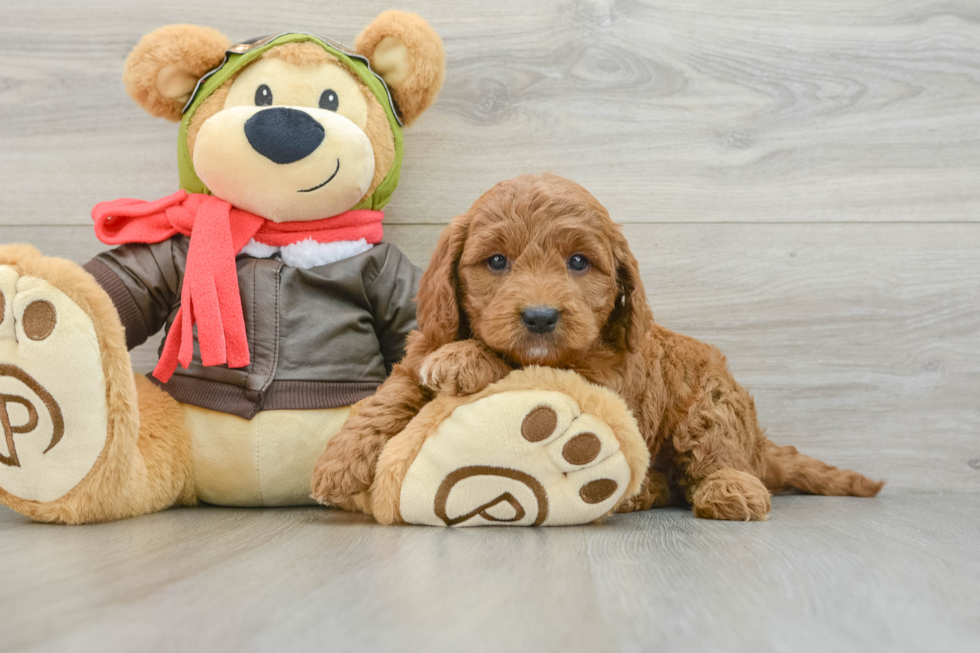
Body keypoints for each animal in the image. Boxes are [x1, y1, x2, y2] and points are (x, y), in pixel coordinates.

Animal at [310, 172, 884, 520]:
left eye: (579, 263)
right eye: (496, 262)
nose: (541, 316)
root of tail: (759, 444)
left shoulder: (596, 378)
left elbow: (516, 368)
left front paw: (468, 359)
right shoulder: (422, 348)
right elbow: (389, 397)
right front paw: (335, 464)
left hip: (713, 404)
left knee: (713, 457)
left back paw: (726, 490)